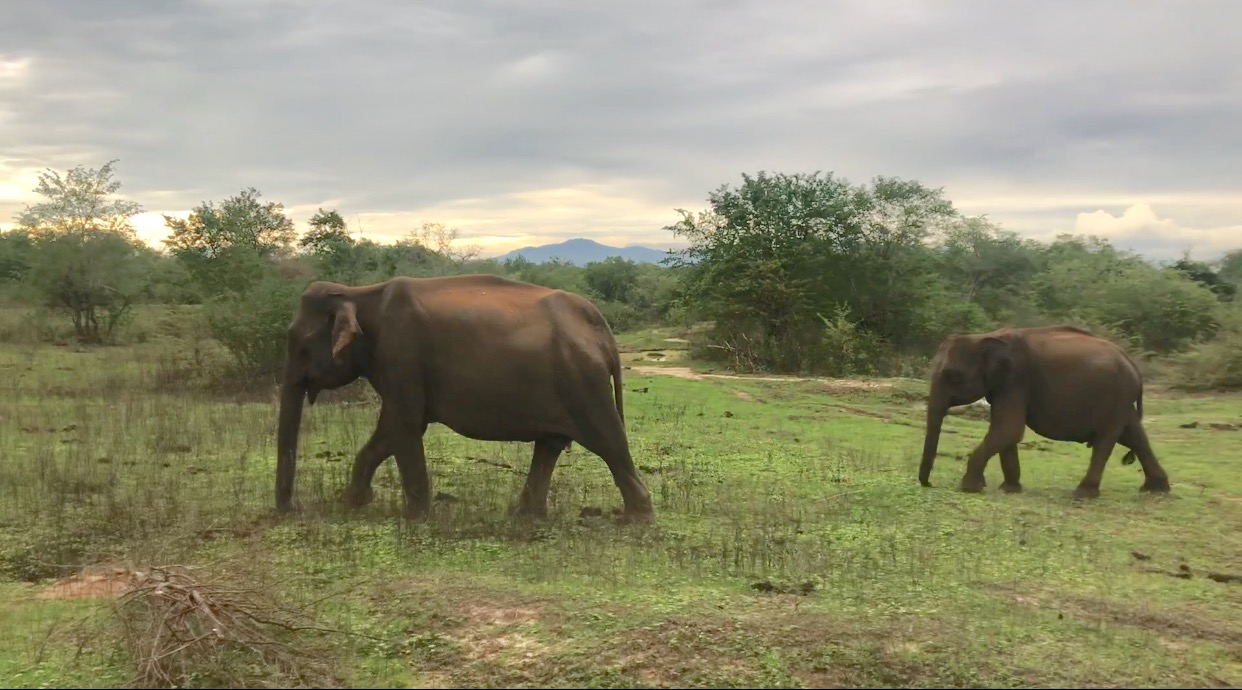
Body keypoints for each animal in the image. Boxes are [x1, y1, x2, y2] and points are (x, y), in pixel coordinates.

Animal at [275, 271, 655, 521]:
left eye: (301, 345)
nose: (288, 510)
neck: (357, 293)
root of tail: (601, 328)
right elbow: (391, 431)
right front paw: (355, 504)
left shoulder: (401, 356)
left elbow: (404, 426)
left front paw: (415, 518)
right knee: (550, 445)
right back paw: (525, 517)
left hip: (584, 383)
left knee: (608, 441)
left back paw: (636, 522)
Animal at [919, 325, 1167, 498]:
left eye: (953, 376)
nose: (928, 484)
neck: (984, 336)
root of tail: (1134, 366)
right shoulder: (1005, 385)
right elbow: (1006, 432)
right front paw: (1009, 489)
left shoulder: (1016, 379)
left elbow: (1009, 428)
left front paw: (970, 488)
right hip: (1122, 401)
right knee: (1133, 435)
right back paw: (1156, 490)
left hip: (1117, 397)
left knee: (1107, 440)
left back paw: (1083, 494)